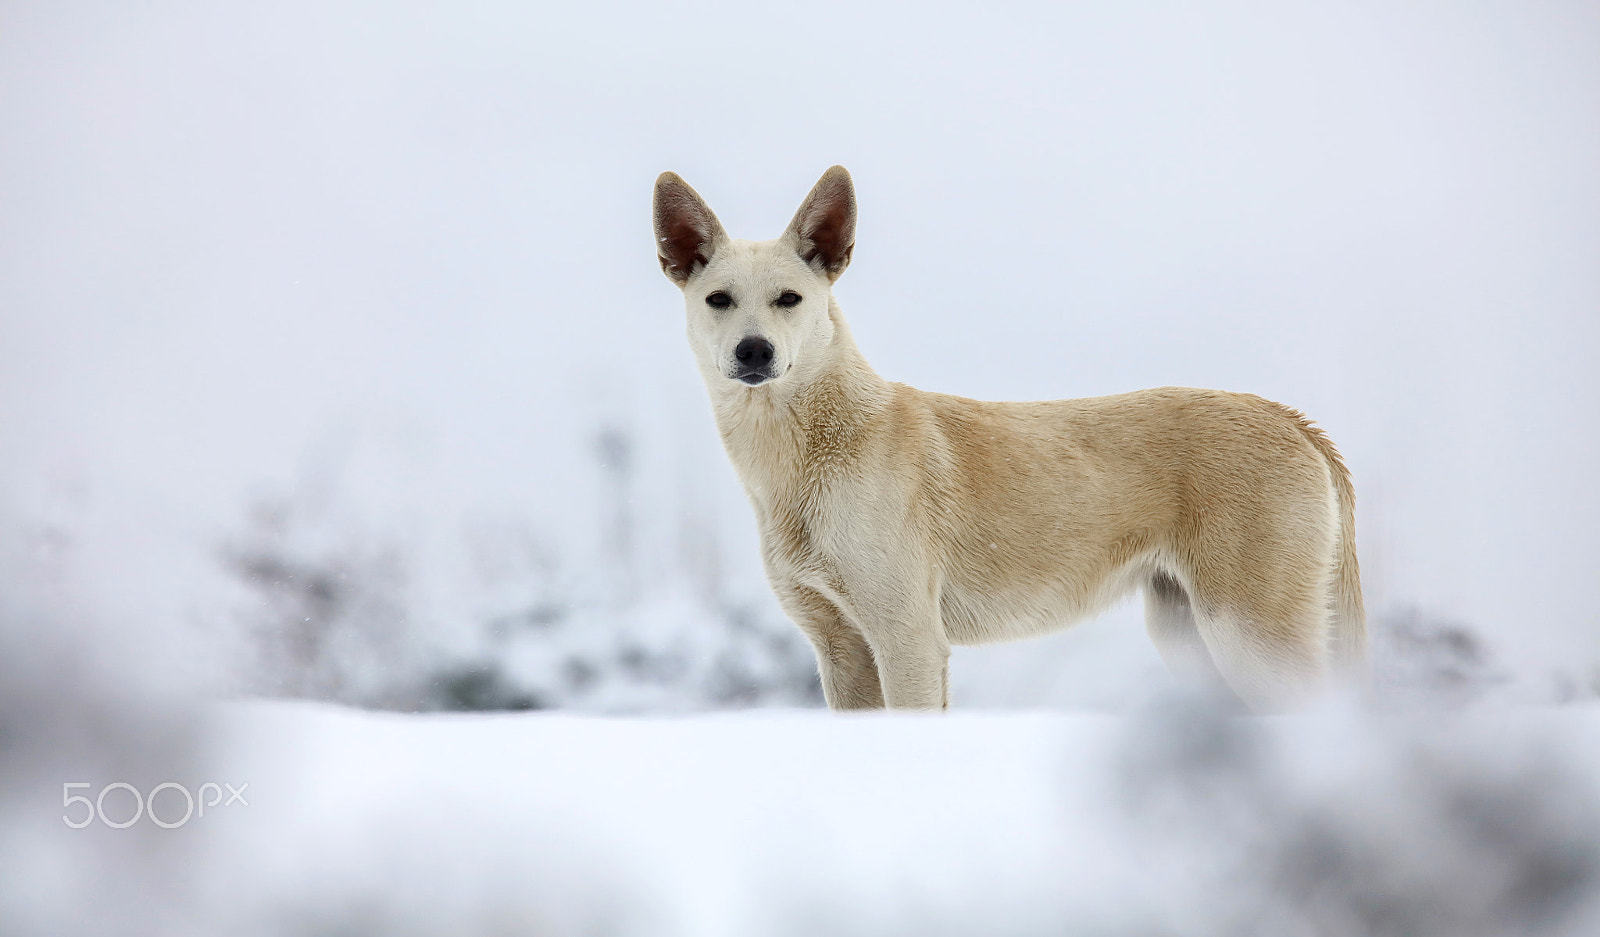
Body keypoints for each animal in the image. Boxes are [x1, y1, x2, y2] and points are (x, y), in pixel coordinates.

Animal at [649, 166, 1363, 706]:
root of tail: (1293, 420)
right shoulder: (840, 651)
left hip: (1252, 634)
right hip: (1190, 640)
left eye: (789, 299)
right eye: (718, 300)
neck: (807, 461)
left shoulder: (910, 642)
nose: (754, 352)